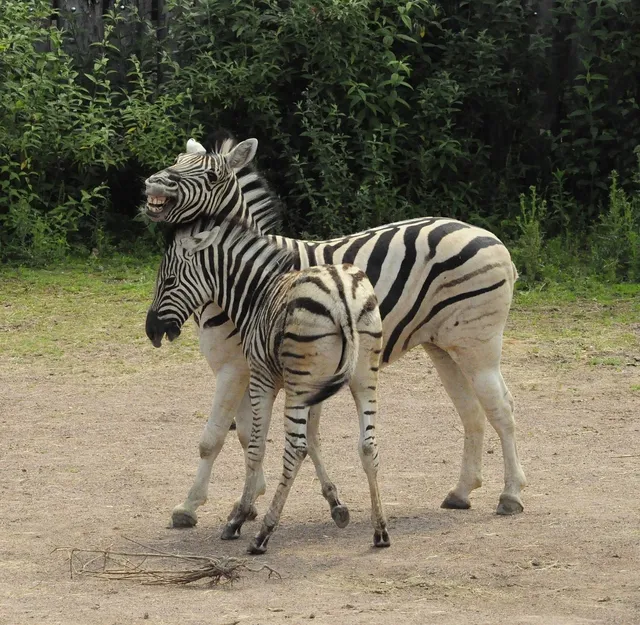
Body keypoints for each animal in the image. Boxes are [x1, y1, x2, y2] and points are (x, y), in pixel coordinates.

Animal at [145, 217, 389, 553]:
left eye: (168, 281)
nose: (151, 330)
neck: (255, 295)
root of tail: (340, 292)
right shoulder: (318, 387)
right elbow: (314, 439)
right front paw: (336, 504)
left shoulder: (262, 379)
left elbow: (256, 446)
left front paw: (239, 516)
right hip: (364, 375)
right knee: (368, 445)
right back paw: (380, 530)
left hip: (299, 384)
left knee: (294, 449)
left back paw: (263, 534)